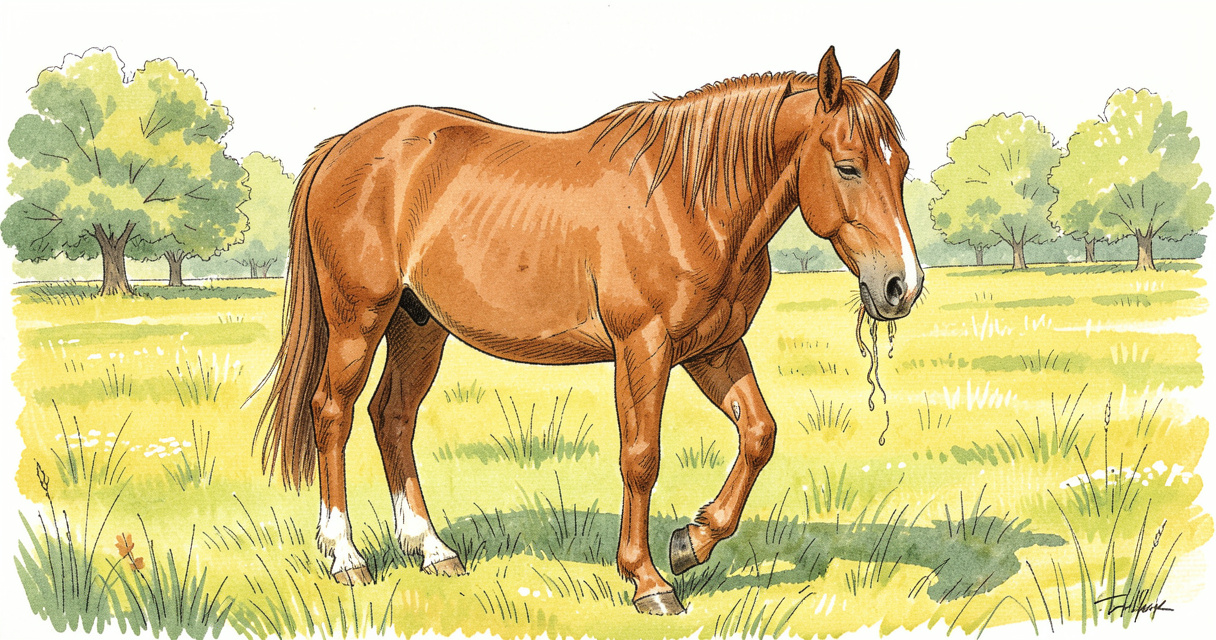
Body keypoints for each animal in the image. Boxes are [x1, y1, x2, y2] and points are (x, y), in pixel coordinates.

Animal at [258, 45, 922, 615]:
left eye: (902, 165)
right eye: (848, 166)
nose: (902, 286)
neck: (689, 201)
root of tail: (341, 147)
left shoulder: (713, 348)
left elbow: (759, 434)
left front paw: (693, 541)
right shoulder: (643, 348)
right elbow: (641, 457)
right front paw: (648, 580)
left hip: (418, 325)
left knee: (392, 416)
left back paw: (432, 549)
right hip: (358, 319)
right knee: (333, 412)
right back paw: (345, 557)